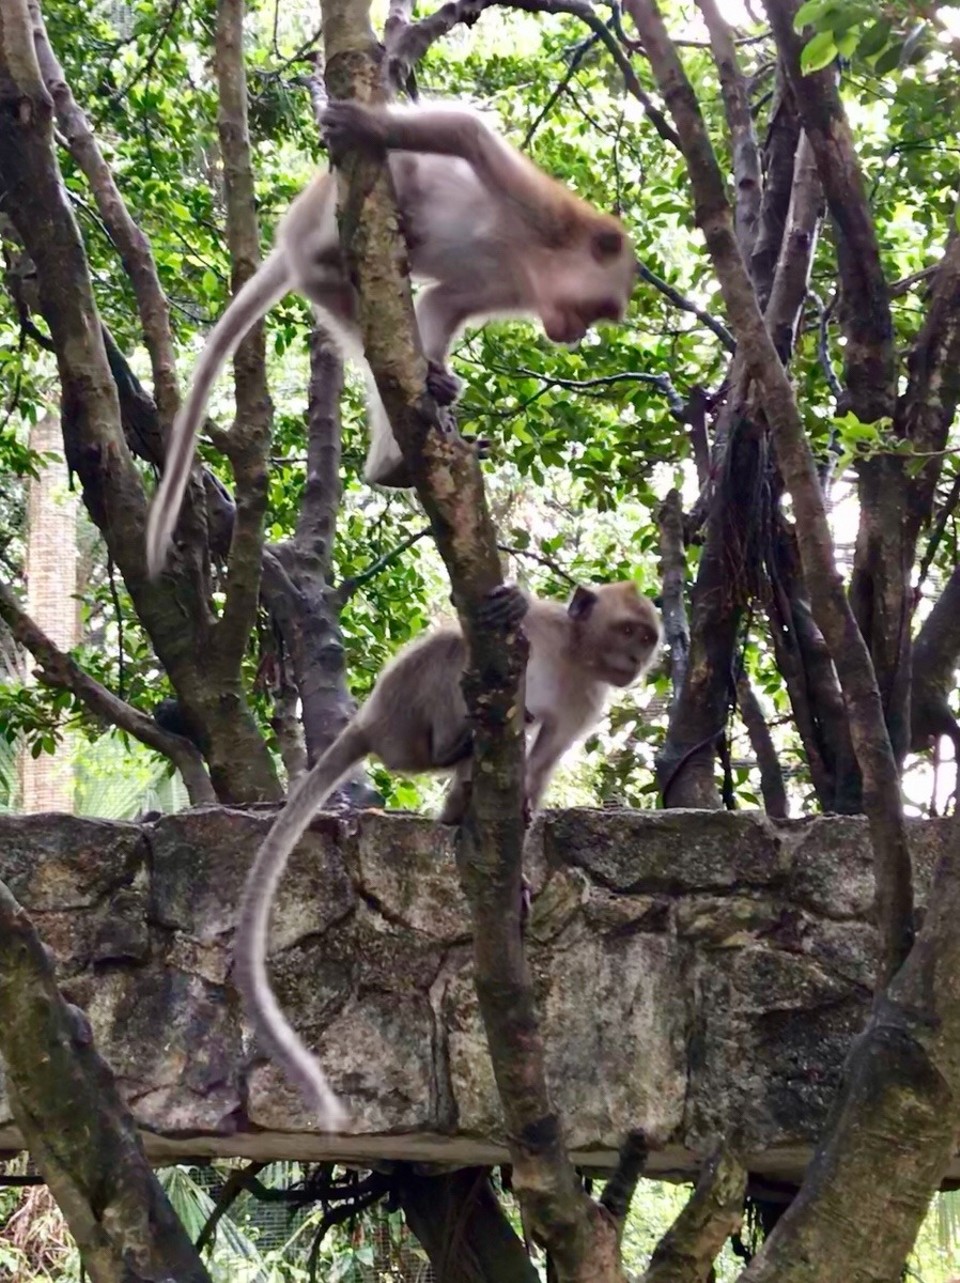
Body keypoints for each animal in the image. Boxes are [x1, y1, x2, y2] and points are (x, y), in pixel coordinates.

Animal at [145, 100, 638, 577]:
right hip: (321, 215)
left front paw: (441, 381)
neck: (534, 258)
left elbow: (442, 302)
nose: (575, 335)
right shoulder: (545, 215)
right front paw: (369, 126)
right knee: (393, 183)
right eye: (594, 310)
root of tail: (292, 243)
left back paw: (392, 462)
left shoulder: (515, 288)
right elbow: (468, 134)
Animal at [234, 579, 661, 1129]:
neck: (573, 655)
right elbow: (473, 626)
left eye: (646, 637)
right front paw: (513, 602)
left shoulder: (584, 701)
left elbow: (543, 766)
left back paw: (460, 803)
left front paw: (520, 851)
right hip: (405, 716)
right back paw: (454, 748)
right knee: (452, 650)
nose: (636, 657)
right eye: (627, 630)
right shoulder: (541, 635)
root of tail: (371, 722)